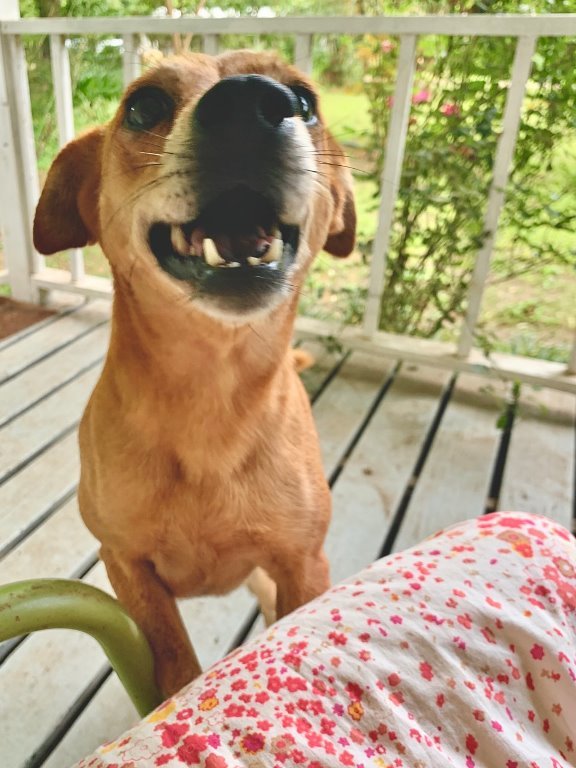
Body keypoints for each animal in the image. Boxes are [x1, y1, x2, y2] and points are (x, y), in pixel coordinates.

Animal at [33, 48, 356, 696]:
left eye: (304, 100)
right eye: (143, 106)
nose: (250, 103)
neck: (212, 396)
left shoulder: (303, 562)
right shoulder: (126, 563)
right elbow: (174, 659)